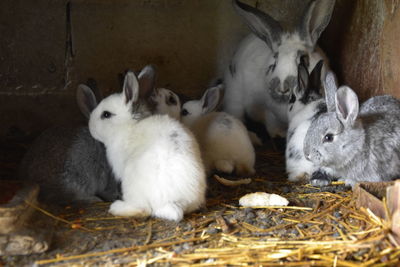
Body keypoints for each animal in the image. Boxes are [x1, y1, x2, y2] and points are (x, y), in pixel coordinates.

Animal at [88, 65, 206, 222]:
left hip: (130, 183)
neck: (129, 126)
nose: (90, 127)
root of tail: (174, 203)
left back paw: (116, 207)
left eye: (106, 114)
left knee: (144, 209)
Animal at [222, 0, 334, 138]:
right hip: (234, 98)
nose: (282, 88)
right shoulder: (269, 114)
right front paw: (280, 134)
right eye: (274, 63)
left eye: (303, 59)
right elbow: (272, 127)